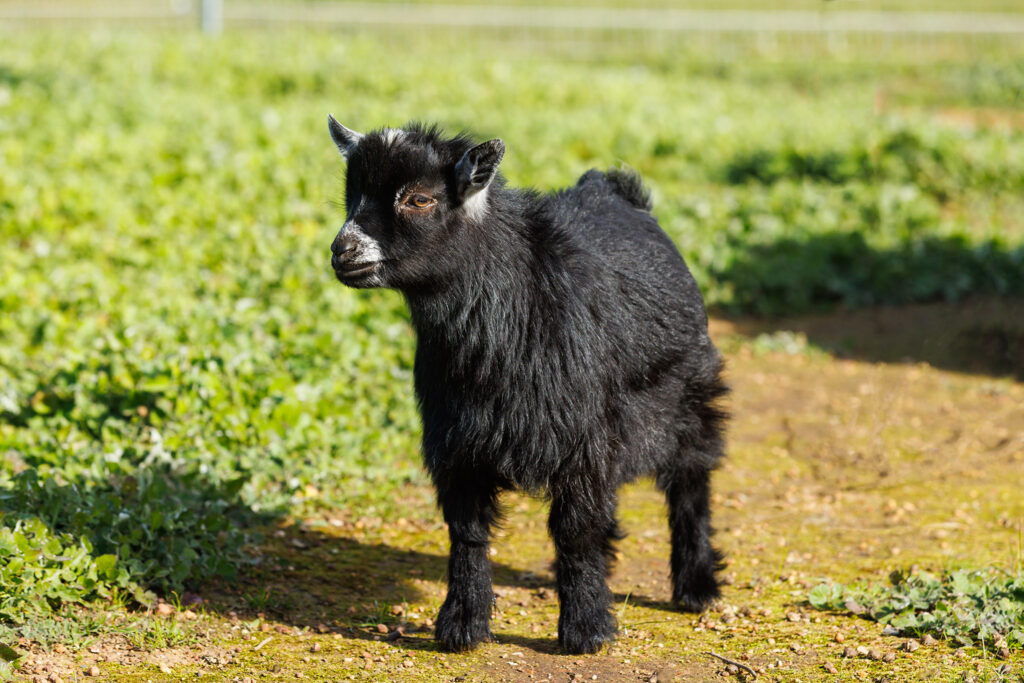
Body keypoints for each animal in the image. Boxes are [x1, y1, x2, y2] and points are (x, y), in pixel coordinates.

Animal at [326, 117, 727, 654]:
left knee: (691, 480)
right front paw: (462, 624)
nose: (342, 251)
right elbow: (467, 530)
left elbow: (575, 529)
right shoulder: (456, 440)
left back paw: (696, 586)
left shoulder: (582, 437)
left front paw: (585, 628)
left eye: (419, 199)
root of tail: (613, 189)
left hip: (689, 395)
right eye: (352, 195)